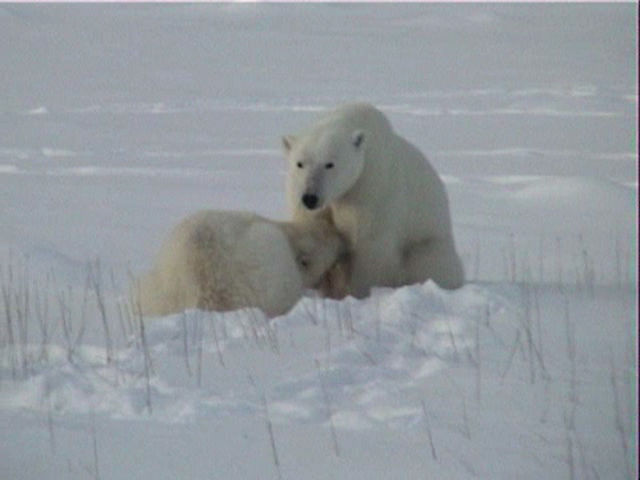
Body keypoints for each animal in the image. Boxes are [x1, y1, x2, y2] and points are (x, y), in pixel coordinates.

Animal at [284, 101, 464, 298]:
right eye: (300, 163)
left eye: (329, 164)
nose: (310, 198)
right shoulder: (306, 198)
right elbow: (314, 233)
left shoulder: (371, 190)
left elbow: (369, 247)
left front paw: (358, 293)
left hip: (429, 246)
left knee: (428, 265)